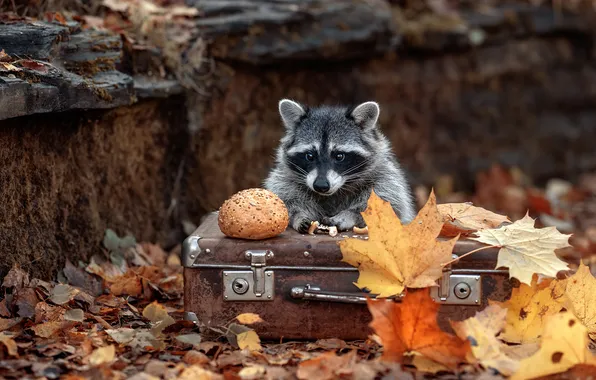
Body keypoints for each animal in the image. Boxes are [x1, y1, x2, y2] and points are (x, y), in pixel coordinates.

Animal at [264, 99, 416, 233]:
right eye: (310, 156)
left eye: (339, 156)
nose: (321, 186)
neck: (334, 192)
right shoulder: (284, 179)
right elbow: (285, 199)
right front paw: (299, 215)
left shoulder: (384, 174)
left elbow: (392, 203)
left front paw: (350, 214)